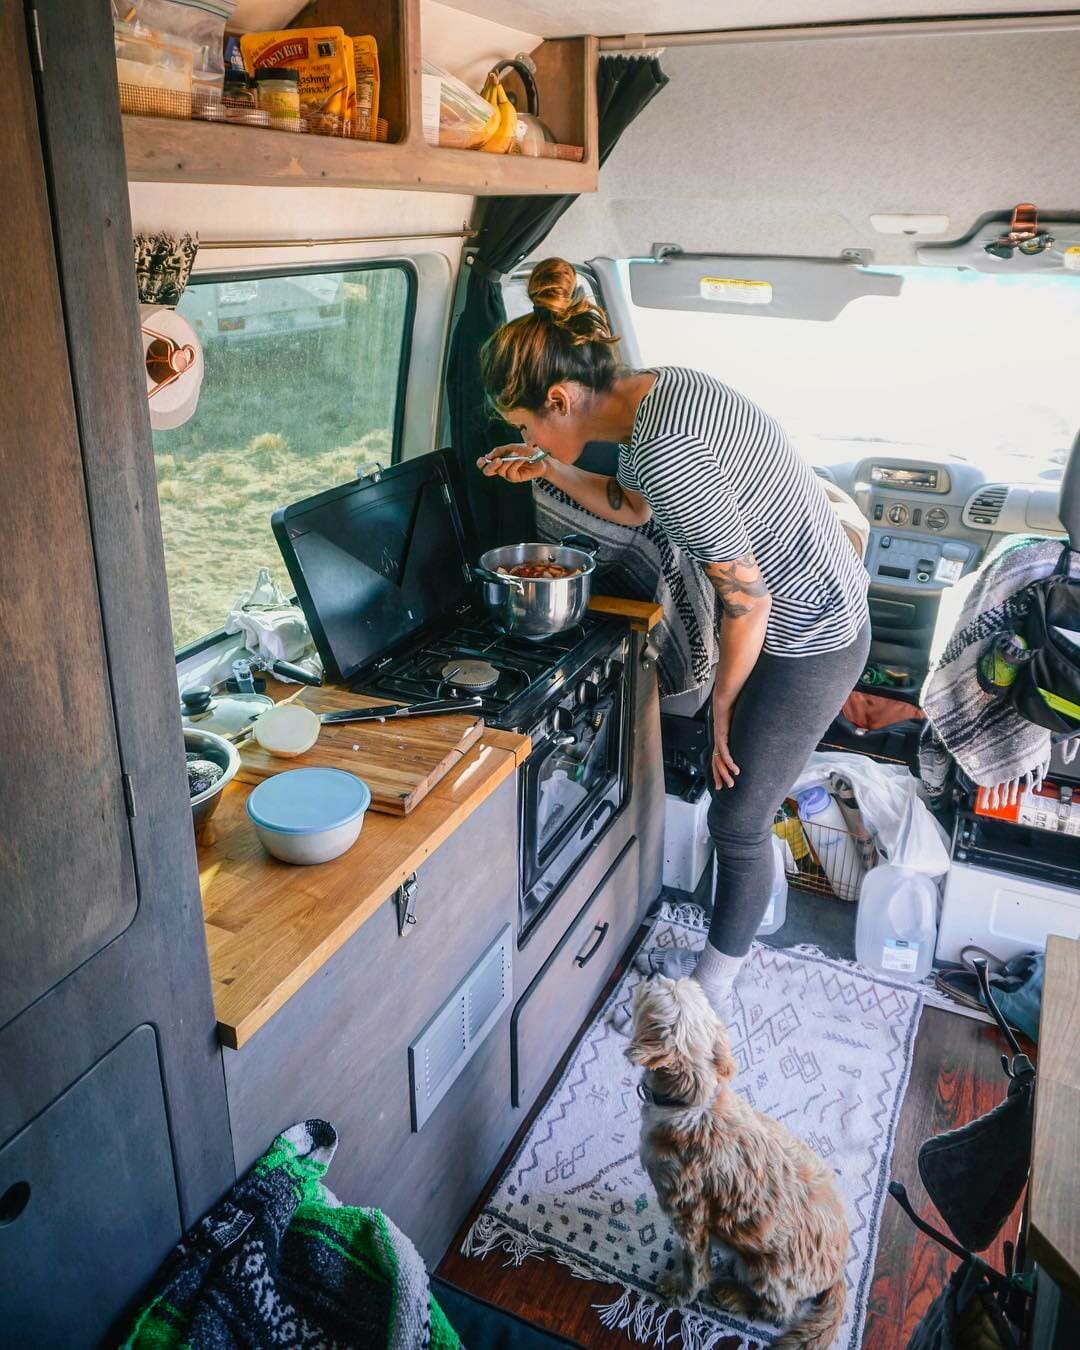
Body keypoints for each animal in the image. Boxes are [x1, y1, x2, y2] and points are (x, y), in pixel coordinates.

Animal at [623, 977, 853, 1344]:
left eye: (654, 996)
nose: (656, 975)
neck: (691, 1103)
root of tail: (837, 1272)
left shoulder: (689, 1211)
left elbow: (694, 1265)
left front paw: (681, 1288)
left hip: (765, 1273)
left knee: (777, 1310)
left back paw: (734, 1295)